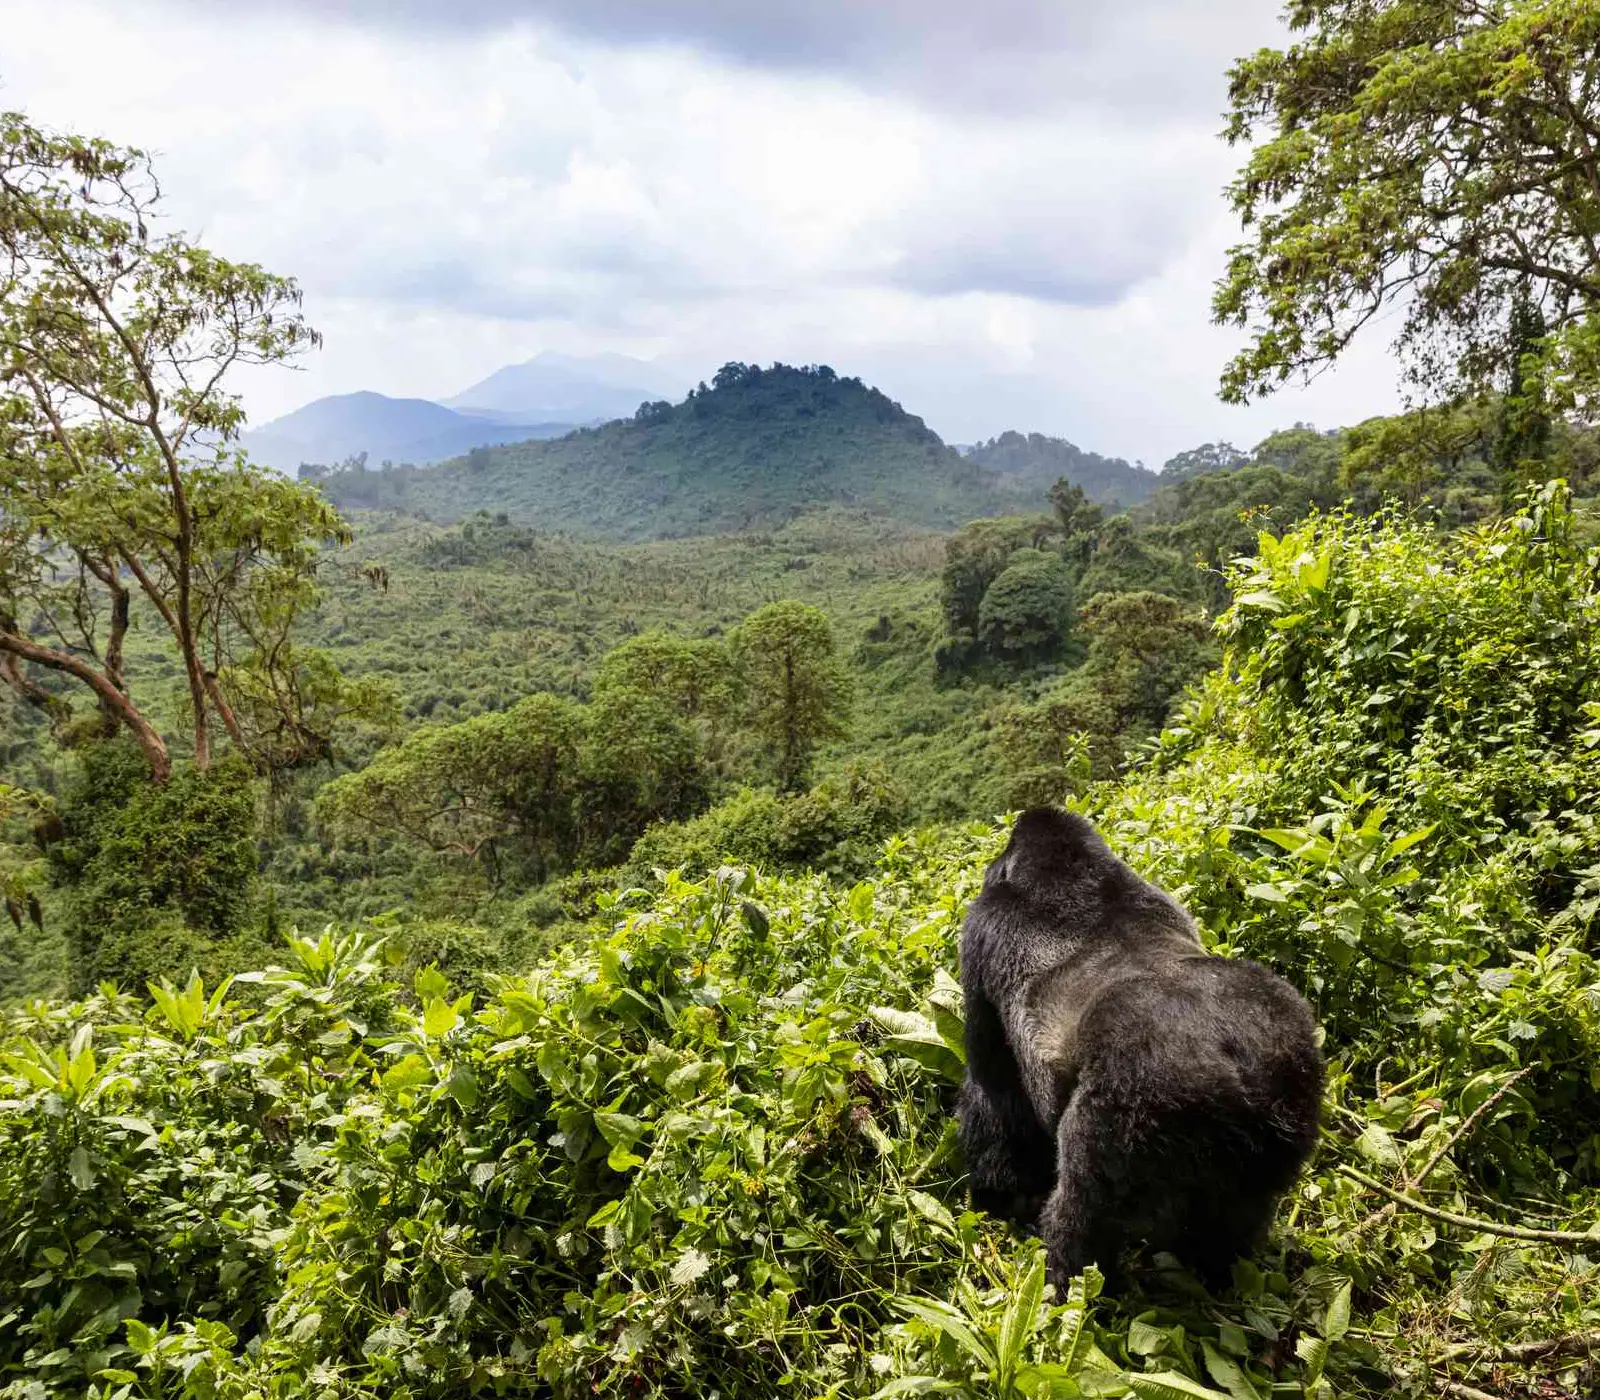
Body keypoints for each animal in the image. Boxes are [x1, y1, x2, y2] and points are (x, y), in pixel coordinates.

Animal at [956, 806, 1323, 1289]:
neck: (1071, 871)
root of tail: (1236, 1069)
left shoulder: (981, 930)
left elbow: (992, 1087)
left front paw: (1001, 1195)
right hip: (1293, 1081)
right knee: (1238, 1217)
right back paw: (1218, 1270)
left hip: (1134, 1100)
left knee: (1083, 1212)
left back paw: (1068, 1284)